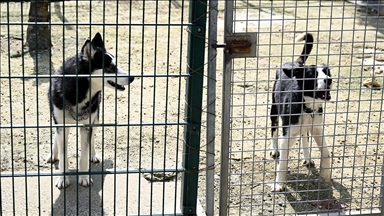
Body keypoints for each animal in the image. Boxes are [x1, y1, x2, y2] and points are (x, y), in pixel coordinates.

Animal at [46, 32, 134, 189]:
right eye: (110, 67)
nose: (132, 77)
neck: (79, 91)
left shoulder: (87, 125)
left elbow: (84, 155)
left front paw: (84, 177)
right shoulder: (61, 124)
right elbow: (63, 154)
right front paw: (63, 178)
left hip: (96, 117)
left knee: (92, 138)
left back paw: (93, 155)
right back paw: (53, 153)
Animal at [270, 31, 332, 191]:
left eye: (327, 72)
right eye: (312, 75)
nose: (329, 80)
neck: (307, 106)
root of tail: (295, 64)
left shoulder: (317, 129)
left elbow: (326, 153)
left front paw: (325, 174)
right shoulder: (287, 136)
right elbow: (282, 163)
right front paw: (279, 184)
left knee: (304, 136)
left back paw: (307, 157)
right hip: (274, 110)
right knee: (273, 129)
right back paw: (274, 149)